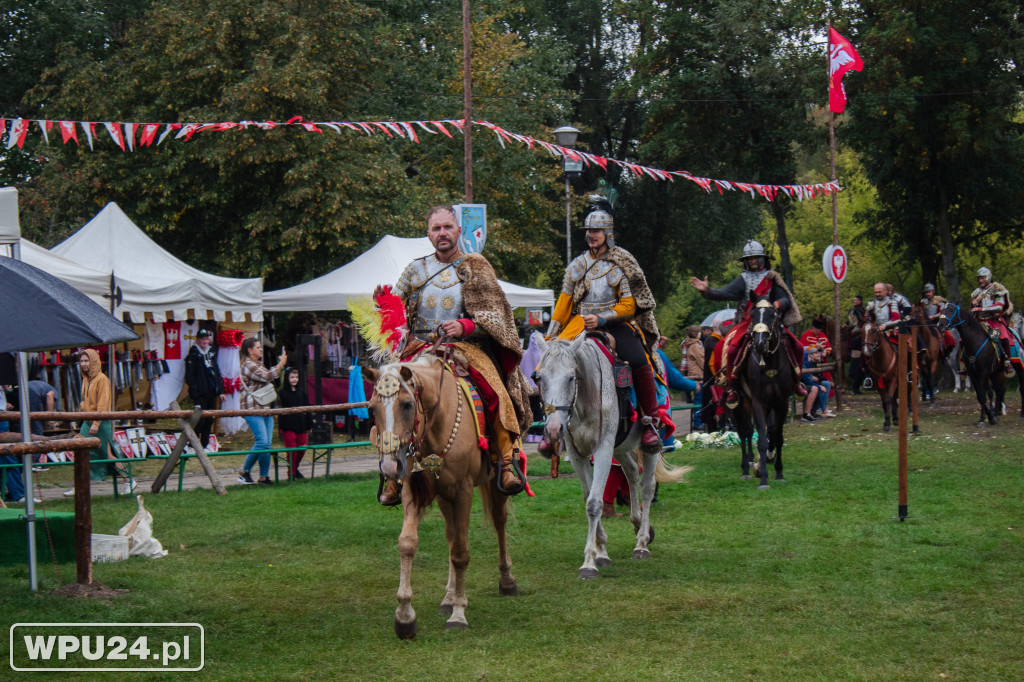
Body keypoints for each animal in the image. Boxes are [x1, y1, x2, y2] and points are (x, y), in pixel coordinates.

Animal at [364, 356, 516, 638]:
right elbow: (407, 543)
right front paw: (404, 616)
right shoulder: (414, 490)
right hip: (445, 496)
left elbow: (461, 552)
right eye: (371, 409)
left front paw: (459, 613)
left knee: (499, 521)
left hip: (493, 482)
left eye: (407, 404)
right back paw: (447, 597)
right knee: (451, 533)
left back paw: (507, 580)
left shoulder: (464, 490)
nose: (389, 467)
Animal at [532, 331, 692, 577]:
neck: (584, 401)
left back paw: (642, 543)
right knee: (632, 472)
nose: (553, 429)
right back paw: (638, 524)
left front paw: (589, 563)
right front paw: (601, 552)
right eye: (539, 378)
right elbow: (588, 497)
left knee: (647, 487)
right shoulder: (578, 455)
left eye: (571, 377)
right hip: (620, 447)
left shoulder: (603, 448)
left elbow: (594, 503)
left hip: (649, 444)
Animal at [737, 294, 790, 485]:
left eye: (772, 315)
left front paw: (779, 471)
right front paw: (763, 478)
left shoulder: (781, 402)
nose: (759, 344)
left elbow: (776, 436)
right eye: (752, 315)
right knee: (744, 431)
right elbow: (760, 440)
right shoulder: (758, 401)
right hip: (739, 402)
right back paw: (746, 466)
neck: (770, 365)